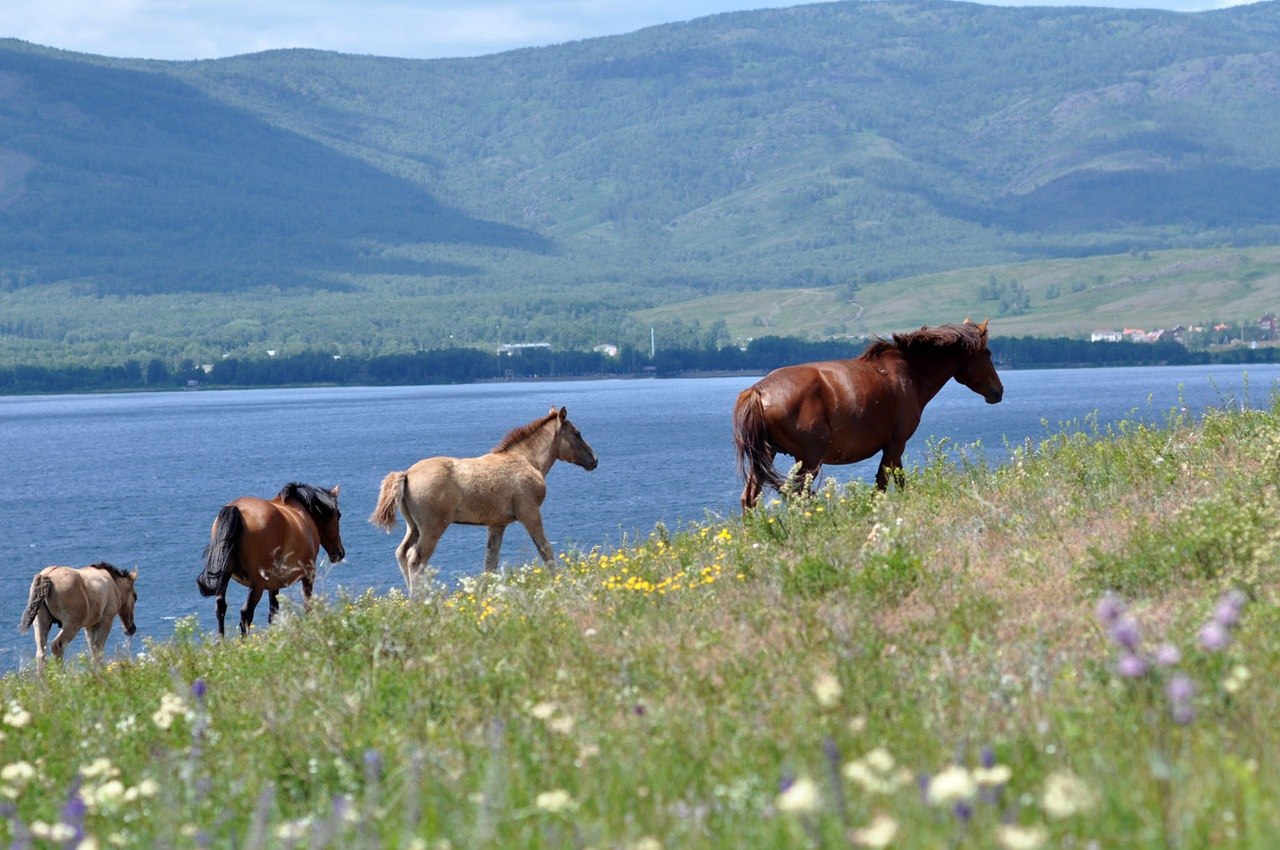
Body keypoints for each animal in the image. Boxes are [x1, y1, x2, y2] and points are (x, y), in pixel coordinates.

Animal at [197, 481, 345, 634]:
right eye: (339, 515)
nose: (340, 553)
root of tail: (236, 509)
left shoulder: (274, 584)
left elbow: (273, 614)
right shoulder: (308, 575)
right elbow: (307, 606)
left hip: (224, 578)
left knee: (221, 608)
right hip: (257, 584)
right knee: (246, 613)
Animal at [371, 407, 599, 593]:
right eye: (577, 433)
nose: (594, 460)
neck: (527, 460)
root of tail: (407, 474)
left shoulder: (497, 524)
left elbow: (490, 562)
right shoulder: (529, 511)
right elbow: (544, 548)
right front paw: (559, 582)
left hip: (414, 526)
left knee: (401, 552)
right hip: (433, 526)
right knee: (415, 560)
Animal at [737, 317, 1003, 504]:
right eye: (988, 353)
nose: (998, 391)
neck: (909, 373)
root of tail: (759, 390)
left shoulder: (894, 447)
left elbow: (899, 481)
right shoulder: (896, 444)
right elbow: (883, 484)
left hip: (767, 454)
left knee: (750, 496)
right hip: (809, 459)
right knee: (799, 495)